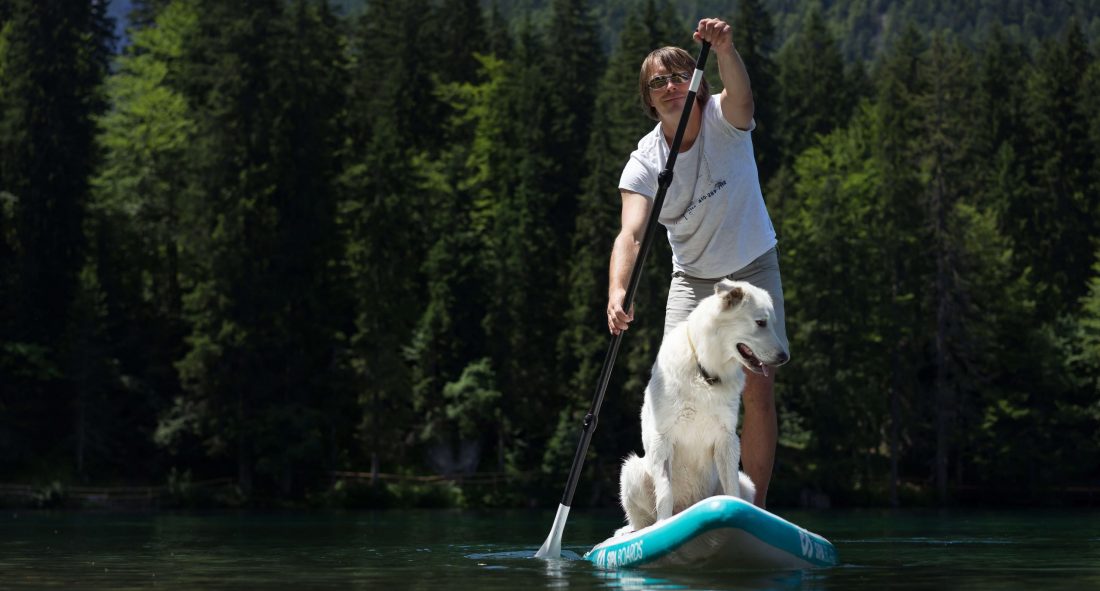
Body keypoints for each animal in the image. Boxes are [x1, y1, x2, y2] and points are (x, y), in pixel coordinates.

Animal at [620, 278, 792, 532]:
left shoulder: (727, 440)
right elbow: (665, 492)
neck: (705, 372)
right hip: (631, 471)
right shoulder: (662, 439)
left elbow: (731, 491)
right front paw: (663, 524)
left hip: (746, 481)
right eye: (760, 323)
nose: (784, 358)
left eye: (773, 323)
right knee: (641, 522)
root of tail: (687, 508)